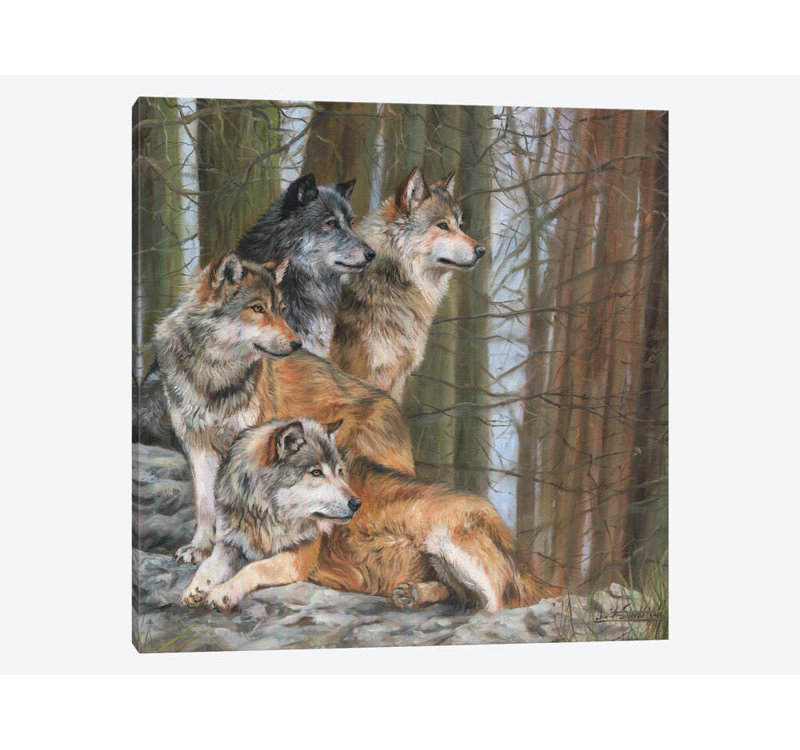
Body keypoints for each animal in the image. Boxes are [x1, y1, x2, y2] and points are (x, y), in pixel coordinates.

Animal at [181, 418, 360, 611]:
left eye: (339, 472)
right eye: (316, 472)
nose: (357, 503)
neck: (265, 516)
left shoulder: (298, 557)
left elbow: (255, 567)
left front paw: (223, 593)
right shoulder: (229, 545)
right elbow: (207, 566)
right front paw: (195, 588)